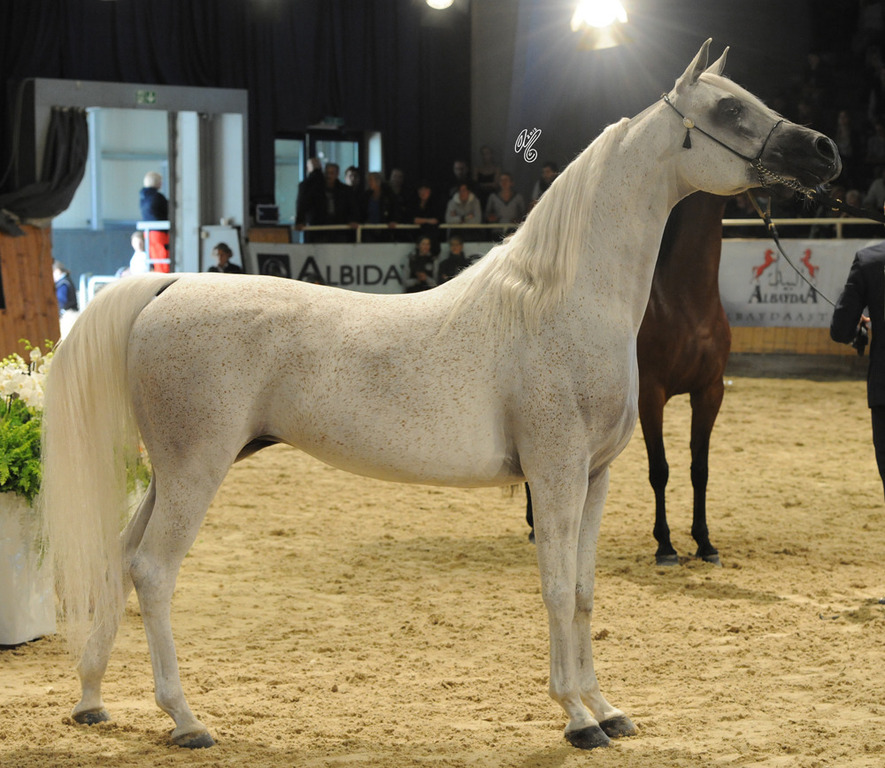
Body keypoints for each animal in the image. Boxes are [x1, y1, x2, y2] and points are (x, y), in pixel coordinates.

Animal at [524, 192, 731, 567]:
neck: (685, 301)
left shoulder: (710, 392)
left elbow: (700, 469)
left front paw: (704, 542)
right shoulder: (651, 395)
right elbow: (659, 470)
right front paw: (665, 545)